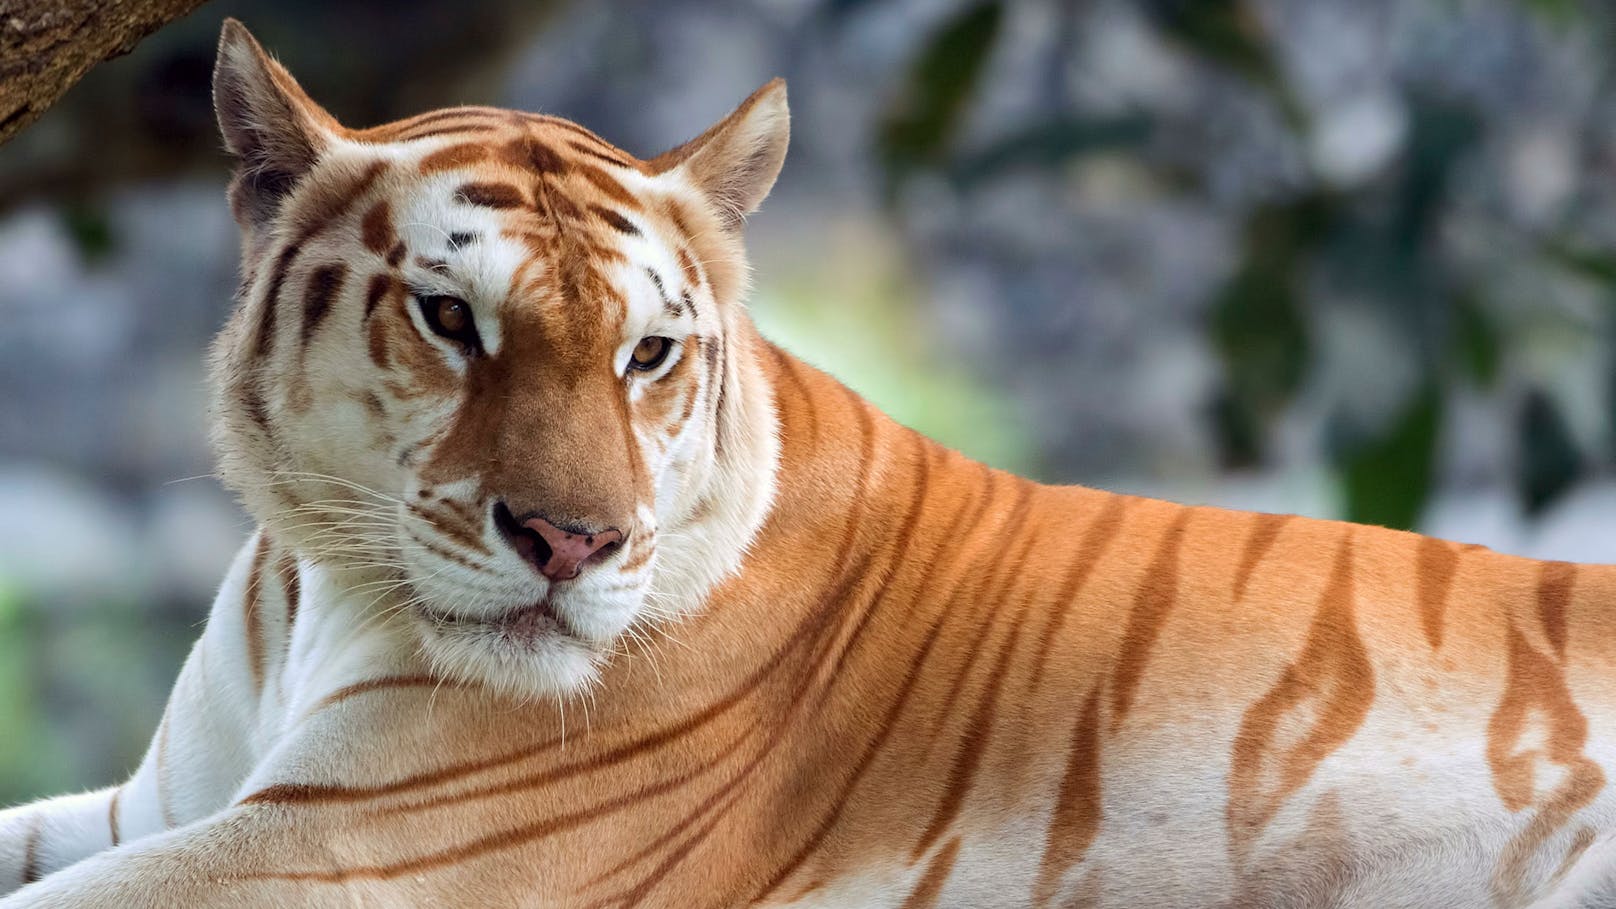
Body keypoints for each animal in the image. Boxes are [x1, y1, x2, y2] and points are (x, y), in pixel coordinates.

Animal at [3, 15, 1616, 905]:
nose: (572, 545)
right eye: (451, 319)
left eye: (647, 353)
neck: (321, 589)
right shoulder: (167, 806)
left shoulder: (348, 852)